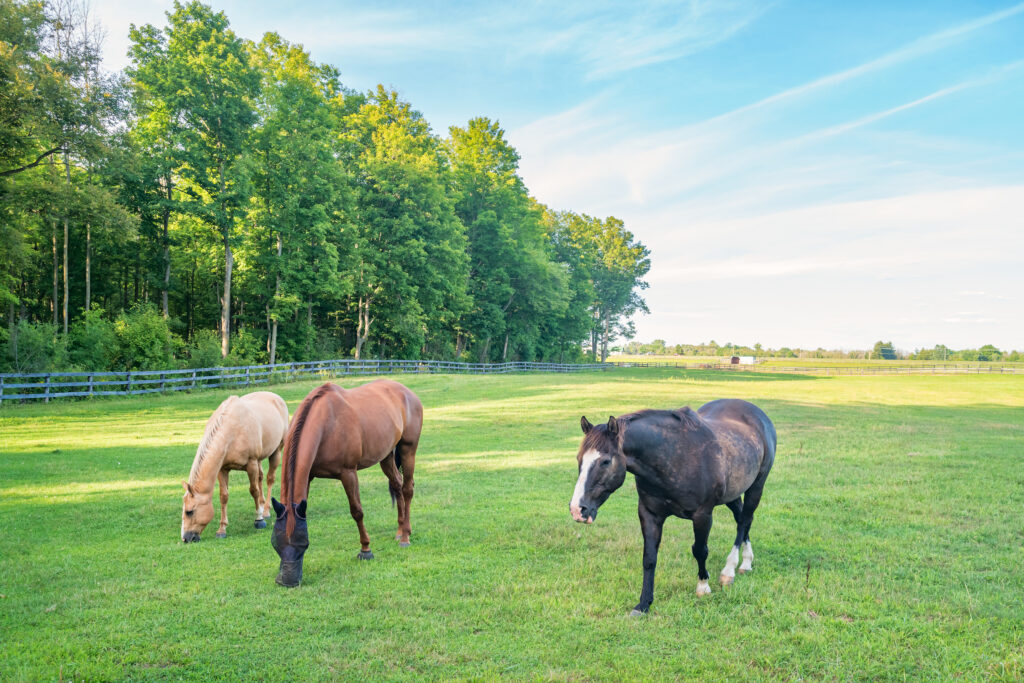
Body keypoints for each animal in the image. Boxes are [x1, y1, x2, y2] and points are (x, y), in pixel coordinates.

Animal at [181, 391, 289, 542]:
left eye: (189, 512)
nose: (185, 538)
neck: (232, 431)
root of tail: (276, 397)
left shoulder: (251, 464)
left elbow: (253, 491)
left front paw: (259, 520)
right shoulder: (222, 469)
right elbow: (224, 496)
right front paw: (222, 529)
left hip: (276, 452)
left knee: (269, 479)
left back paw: (266, 510)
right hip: (260, 459)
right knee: (261, 478)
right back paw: (262, 506)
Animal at [271, 379, 423, 587]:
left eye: (302, 543)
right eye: (276, 543)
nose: (287, 580)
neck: (326, 424)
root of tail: (407, 392)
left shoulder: (348, 473)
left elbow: (357, 511)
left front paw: (366, 550)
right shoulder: (308, 477)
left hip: (409, 450)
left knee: (407, 489)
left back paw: (405, 536)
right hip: (386, 456)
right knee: (397, 485)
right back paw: (400, 530)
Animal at [569, 399, 776, 615]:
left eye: (605, 461)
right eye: (579, 458)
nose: (577, 509)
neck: (674, 457)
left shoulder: (703, 515)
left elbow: (700, 550)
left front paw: (703, 586)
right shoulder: (649, 514)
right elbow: (649, 558)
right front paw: (643, 604)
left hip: (756, 487)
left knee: (744, 520)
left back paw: (731, 569)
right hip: (733, 493)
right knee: (742, 518)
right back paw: (746, 562)